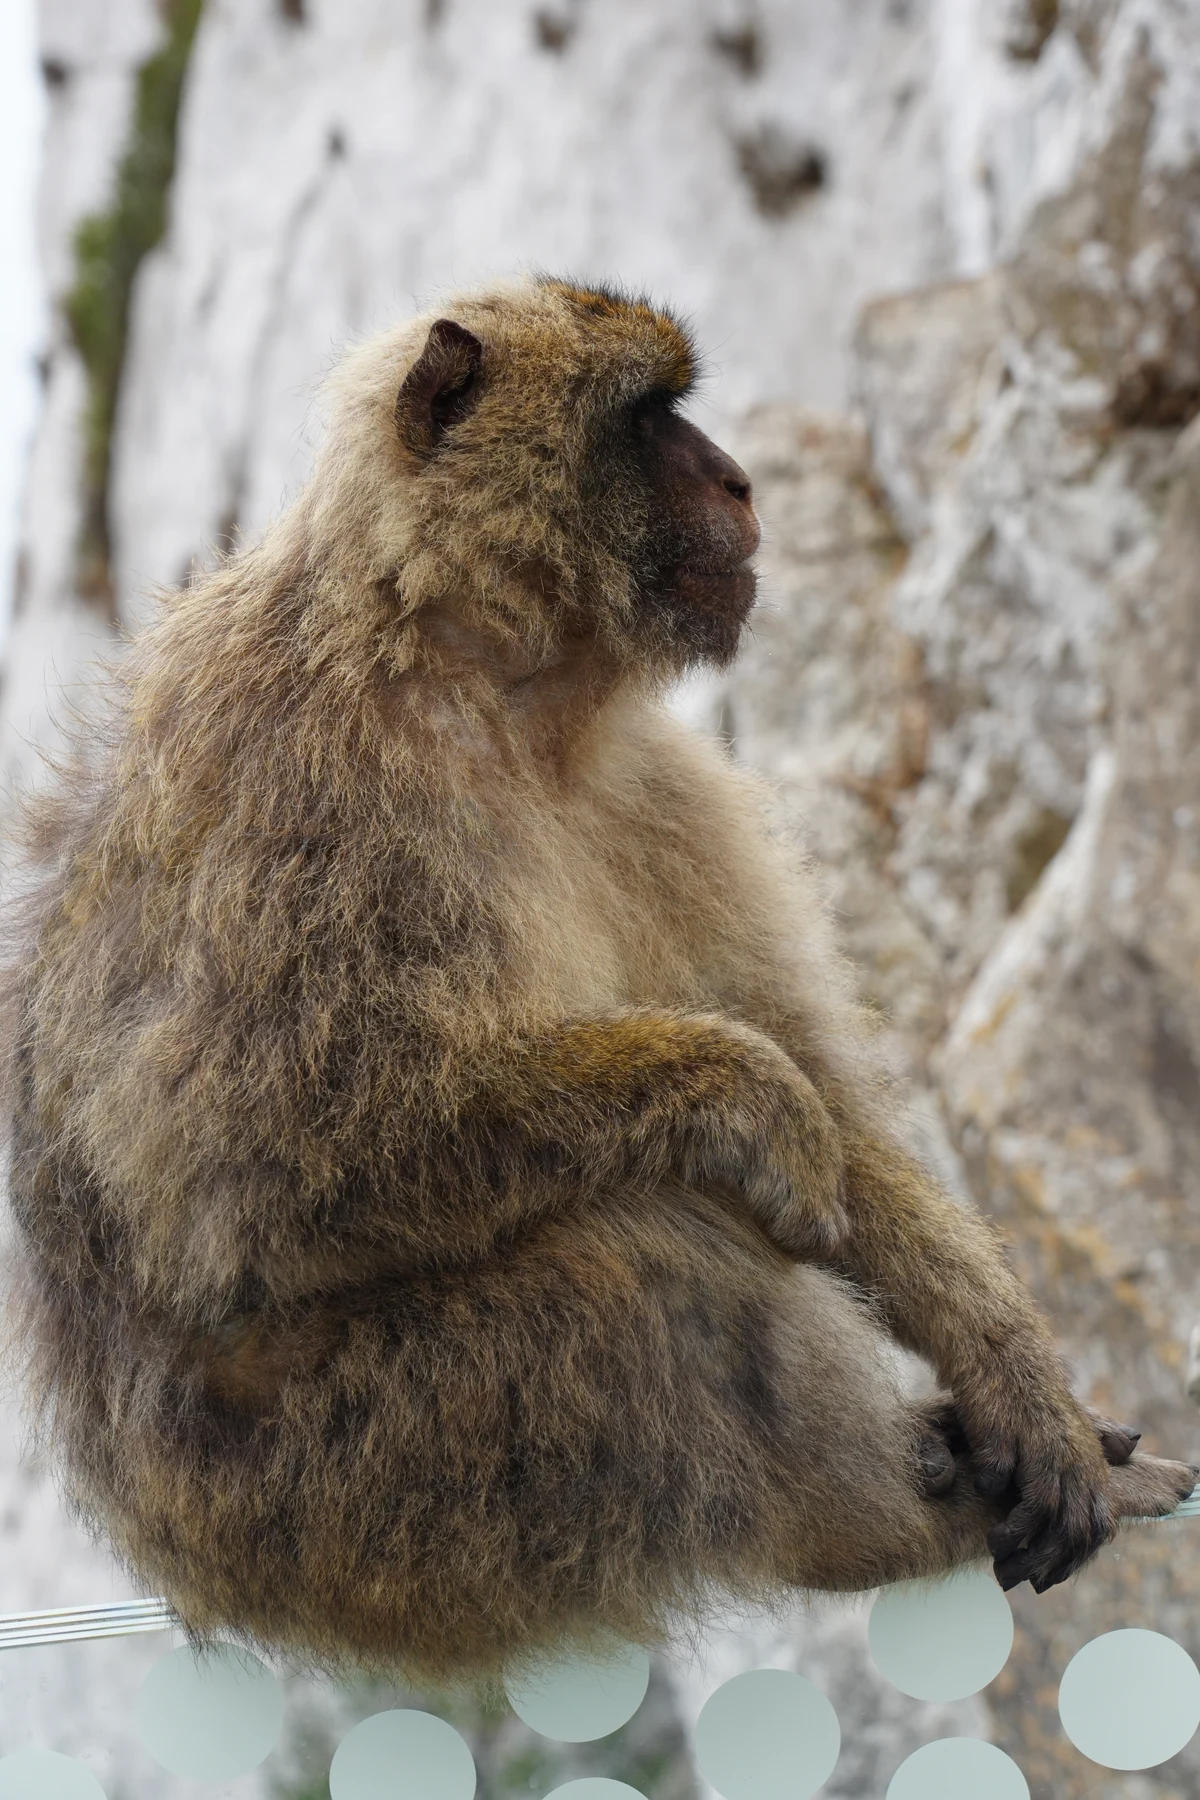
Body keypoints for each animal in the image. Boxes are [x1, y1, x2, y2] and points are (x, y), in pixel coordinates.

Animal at [3, 277, 1193, 1681]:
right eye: (647, 417)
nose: (737, 479)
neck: (490, 679)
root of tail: (182, 1560)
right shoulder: (306, 784)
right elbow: (249, 1180)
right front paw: (748, 1095)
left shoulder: (658, 787)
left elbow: (840, 1114)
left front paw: (1019, 1383)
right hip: (327, 1498)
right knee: (635, 1254)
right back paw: (882, 1519)